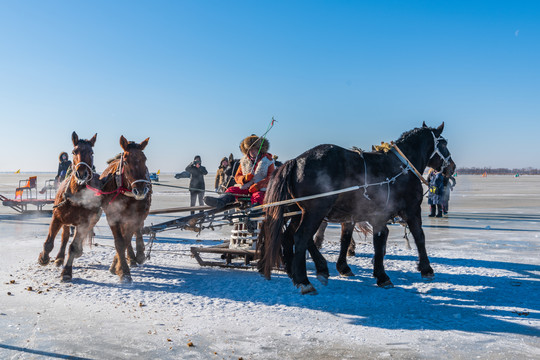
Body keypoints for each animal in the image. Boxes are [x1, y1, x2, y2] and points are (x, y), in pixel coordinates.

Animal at [38, 131, 102, 282]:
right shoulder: (57, 217)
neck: (76, 196)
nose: (82, 173)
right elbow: (49, 242)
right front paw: (43, 258)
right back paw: (59, 258)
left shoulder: (85, 223)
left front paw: (67, 271)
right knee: (65, 236)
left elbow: (73, 246)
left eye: (91, 152)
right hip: (66, 221)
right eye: (74, 151)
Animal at [99, 136, 152, 282]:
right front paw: (122, 270)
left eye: (145, 159)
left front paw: (119, 267)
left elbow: (126, 239)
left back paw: (137, 256)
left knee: (136, 232)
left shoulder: (136, 216)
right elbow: (120, 242)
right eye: (126, 161)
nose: (141, 189)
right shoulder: (112, 216)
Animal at [258, 122, 456, 294]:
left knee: (290, 237)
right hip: (315, 211)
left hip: (300, 212)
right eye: (444, 143)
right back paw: (304, 281)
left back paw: (302, 271)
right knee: (301, 238)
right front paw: (425, 269)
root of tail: (296, 160)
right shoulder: (411, 210)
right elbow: (418, 237)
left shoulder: (363, 216)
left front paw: (353, 268)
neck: (402, 167)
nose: (452, 167)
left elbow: (358, 241)